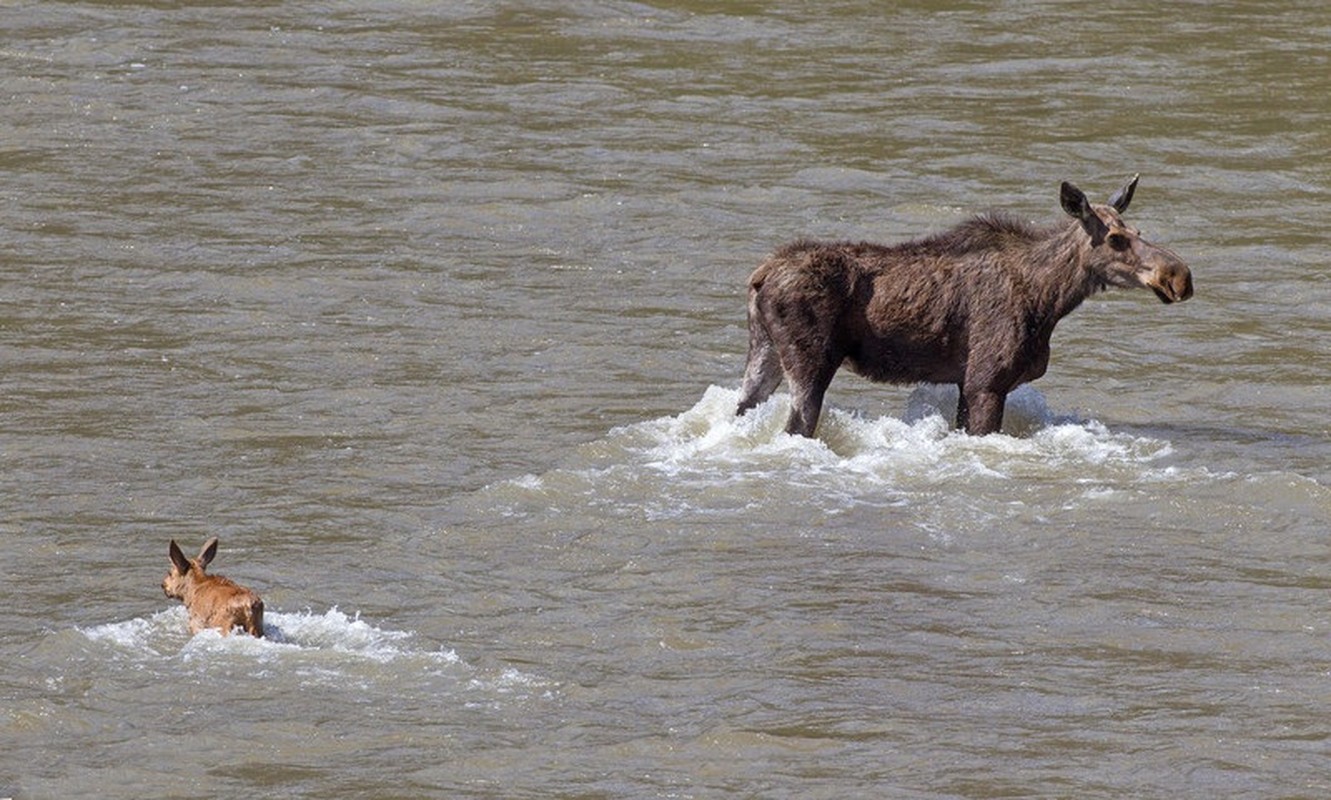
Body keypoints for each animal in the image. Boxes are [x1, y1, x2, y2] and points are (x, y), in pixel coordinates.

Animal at [740, 175, 1197, 436]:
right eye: (1117, 239)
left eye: (1138, 231)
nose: (1179, 276)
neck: (1050, 298)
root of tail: (759, 275)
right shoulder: (986, 381)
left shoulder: (967, 383)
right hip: (811, 360)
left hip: (764, 353)